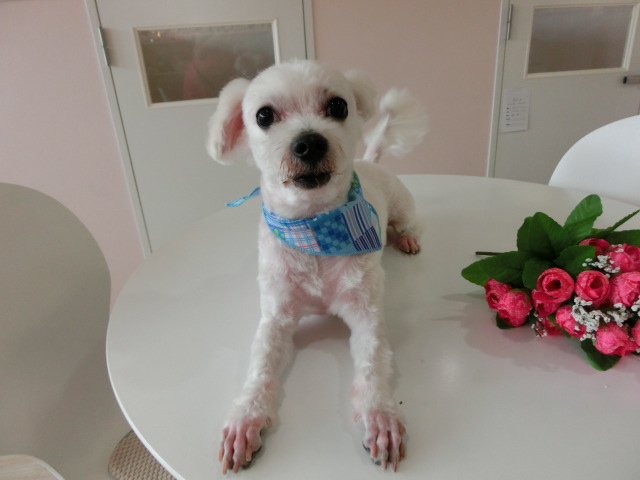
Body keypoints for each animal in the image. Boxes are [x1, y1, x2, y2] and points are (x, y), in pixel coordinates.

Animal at [207, 60, 427, 474]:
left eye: (338, 106)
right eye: (263, 115)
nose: (309, 142)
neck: (313, 231)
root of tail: (369, 161)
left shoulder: (366, 313)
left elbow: (373, 364)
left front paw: (381, 418)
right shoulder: (275, 318)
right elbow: (260, 368)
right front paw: (246, 419)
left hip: (402, 205)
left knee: (406, 223)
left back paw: (407, 237)